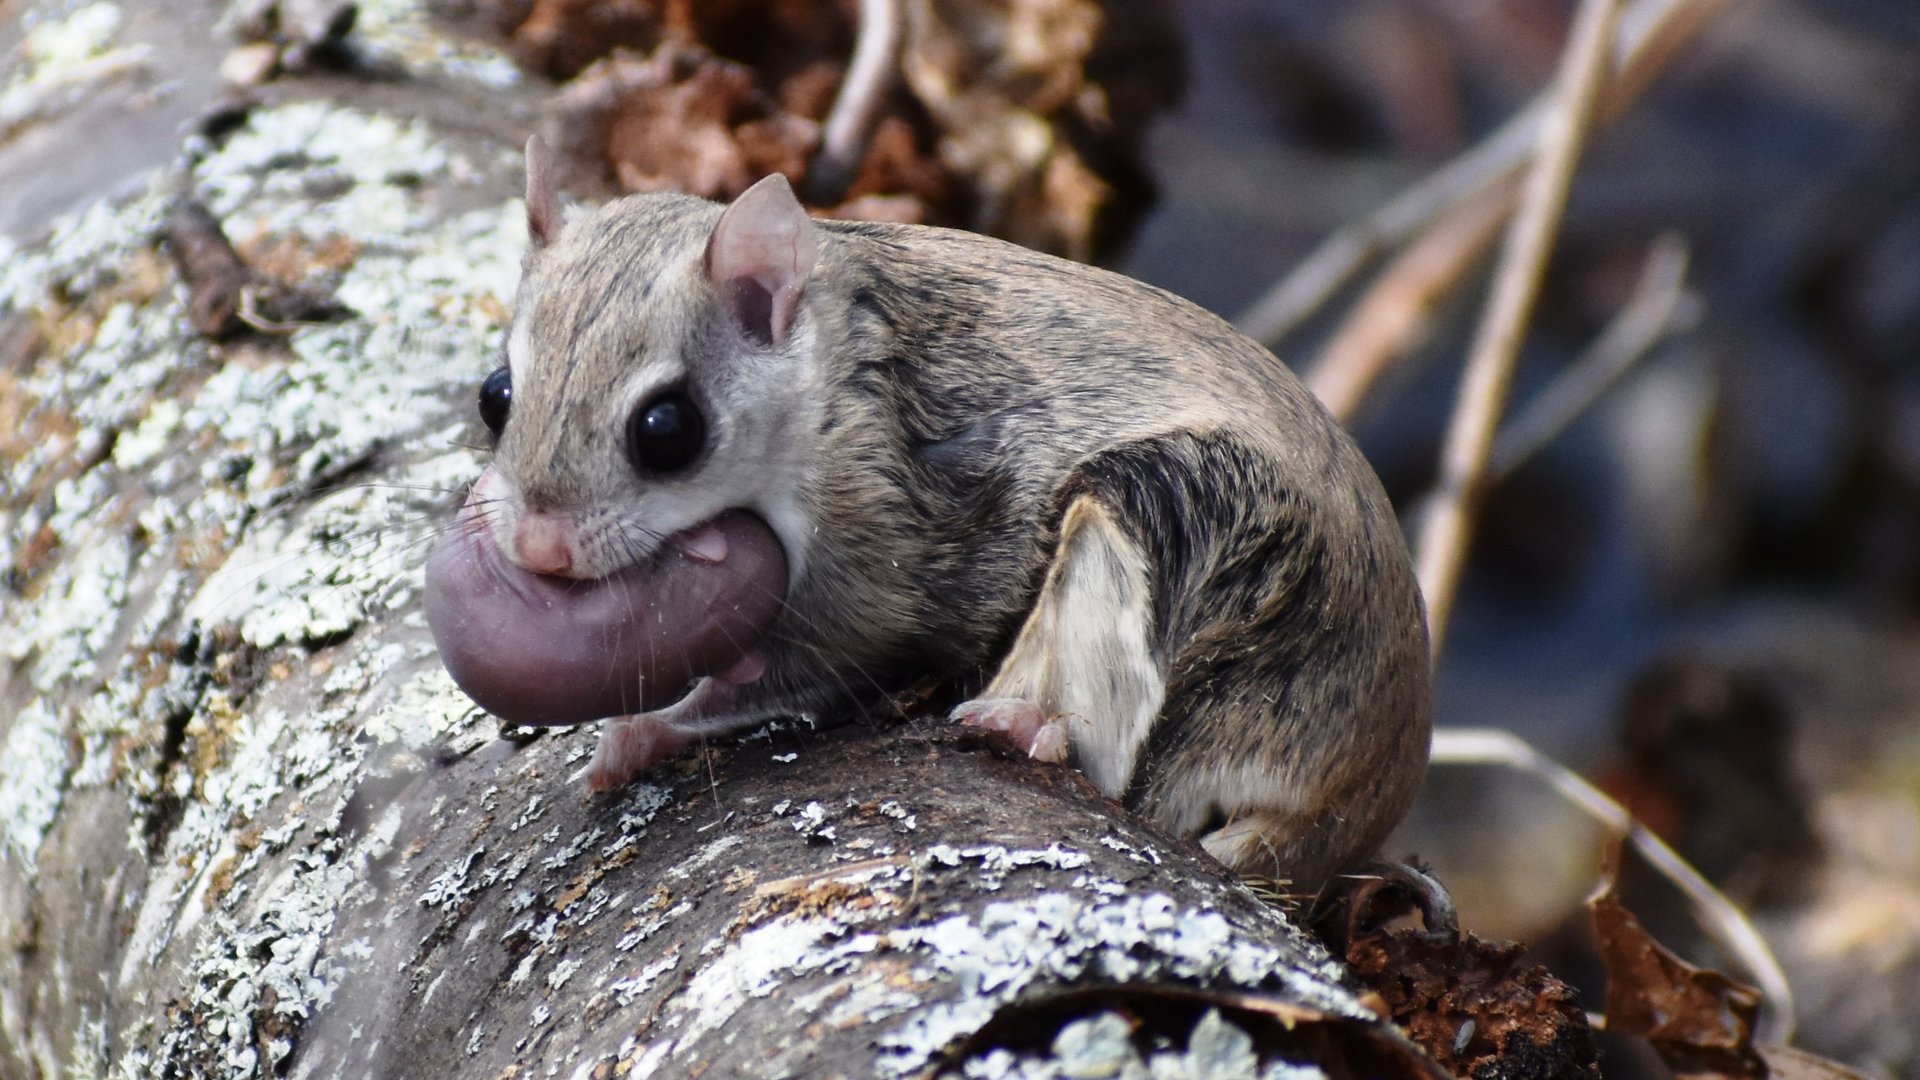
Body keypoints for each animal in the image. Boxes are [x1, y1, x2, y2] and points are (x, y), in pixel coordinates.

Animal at [432, 136, 1428, 891]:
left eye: (667, 430)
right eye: (494, 395)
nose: (540, 548)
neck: (825, 382)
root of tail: (1353, 798)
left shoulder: (869, 558)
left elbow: (797, 679)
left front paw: (641, 731)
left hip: (1177, 514)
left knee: (1115, 753)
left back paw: (1025, 724)